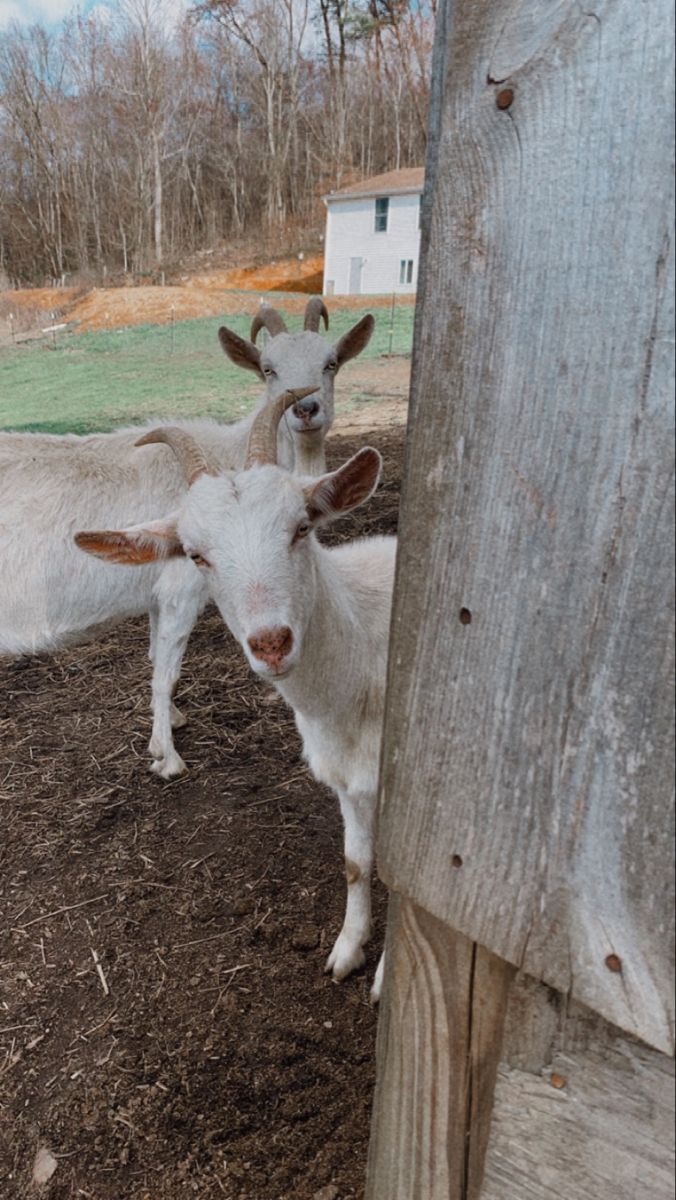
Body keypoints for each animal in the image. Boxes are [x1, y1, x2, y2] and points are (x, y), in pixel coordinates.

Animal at [0, 300, 374, 777]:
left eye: (331, 363)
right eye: (267, 369)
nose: (306, 410)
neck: (226, 455)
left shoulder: (158, 591)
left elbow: (155, 655)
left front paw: (171, 721)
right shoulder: (183, 586)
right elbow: (166, 671)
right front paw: (166, 756)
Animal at [75, 391, 393, 993]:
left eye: (301, 527)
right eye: (195, 554)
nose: (271, 642)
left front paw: (388, 983)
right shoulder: (347, 778)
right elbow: (356, 863)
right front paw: (347, 950)